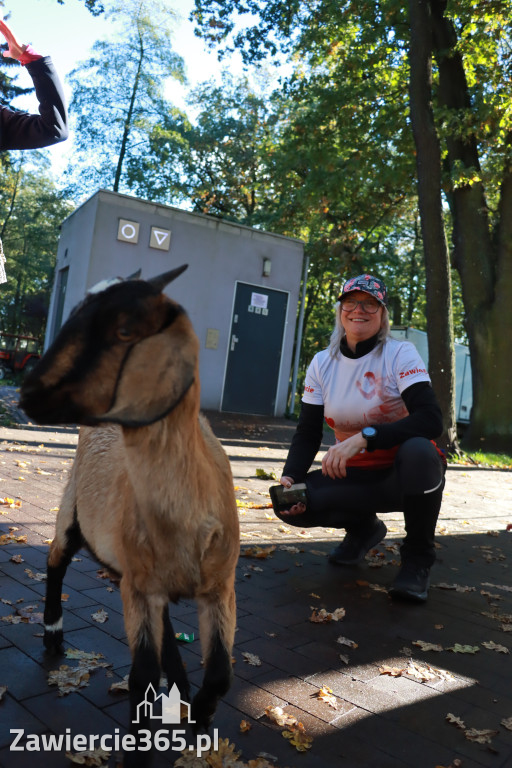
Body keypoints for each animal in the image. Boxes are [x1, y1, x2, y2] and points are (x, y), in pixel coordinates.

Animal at [21, 268, 241, 764]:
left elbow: (220, 671)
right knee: (54, 560)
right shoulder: (139, 589)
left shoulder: (220, 585)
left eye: (124, 330)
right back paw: (52, 632)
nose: (28, 392)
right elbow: (141, 679)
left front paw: (199, 718)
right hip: (72, 508)